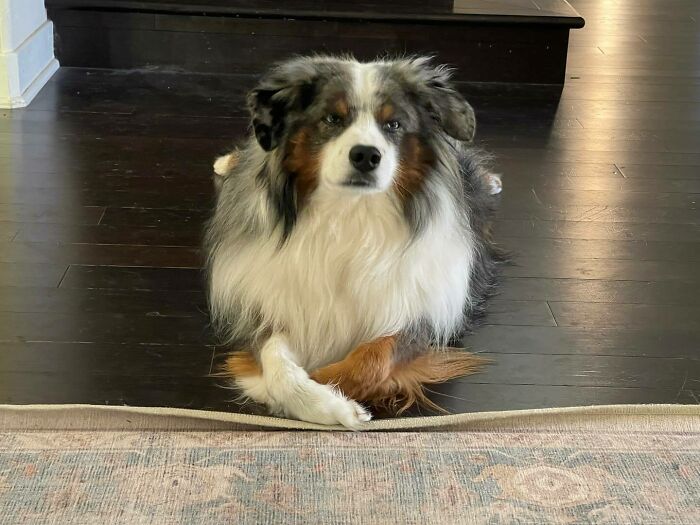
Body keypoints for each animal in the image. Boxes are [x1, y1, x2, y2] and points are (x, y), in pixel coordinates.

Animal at [202, 55, 504, 428]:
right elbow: (278, 367)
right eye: (332, 118)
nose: (365, 156)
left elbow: (372, 359)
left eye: (394, 124)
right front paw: (322, 402)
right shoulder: (268, 309)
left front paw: (332, 393)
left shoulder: (422, 317)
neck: (350, 212)